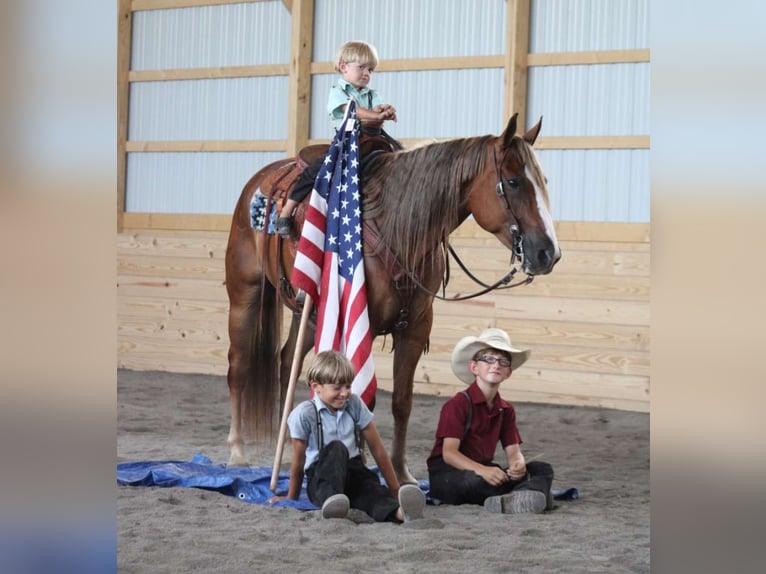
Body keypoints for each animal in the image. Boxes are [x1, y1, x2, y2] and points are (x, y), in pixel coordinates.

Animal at [225, 113, 560, 486]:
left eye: (543, 180)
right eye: (513, 182)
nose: (548, 253)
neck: (396, 225)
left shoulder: (415, 327)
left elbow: (400, 401)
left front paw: (400, 471)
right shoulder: (361, 322)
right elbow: (359, 396)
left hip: (310, 313)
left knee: (287, 362)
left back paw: (287, 445)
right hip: (245, 297)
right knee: (238, 368)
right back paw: (237, 451)